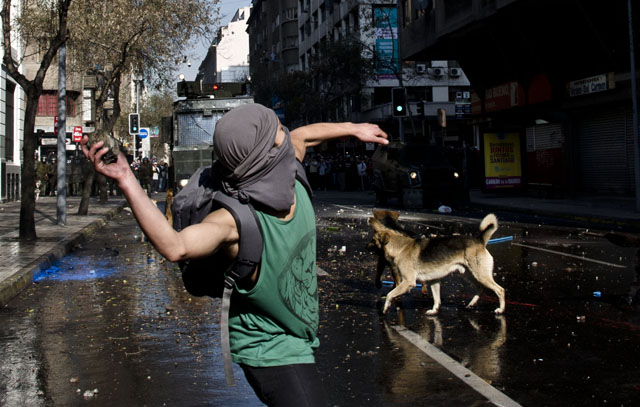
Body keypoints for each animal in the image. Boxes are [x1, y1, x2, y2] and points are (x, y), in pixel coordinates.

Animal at [370, 214, 504, 316]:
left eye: (373, 240)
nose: (366, 247)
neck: (400, 247)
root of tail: (480, 240)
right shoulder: (434, 281)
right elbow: (437, 299)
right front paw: (434, 310)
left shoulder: (408, 282)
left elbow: (390, 294)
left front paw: (386, 308)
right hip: (470, 274)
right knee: (480, 288)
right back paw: (471, 304)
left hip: (481, 275)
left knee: (500, 290)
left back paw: (501, 310)